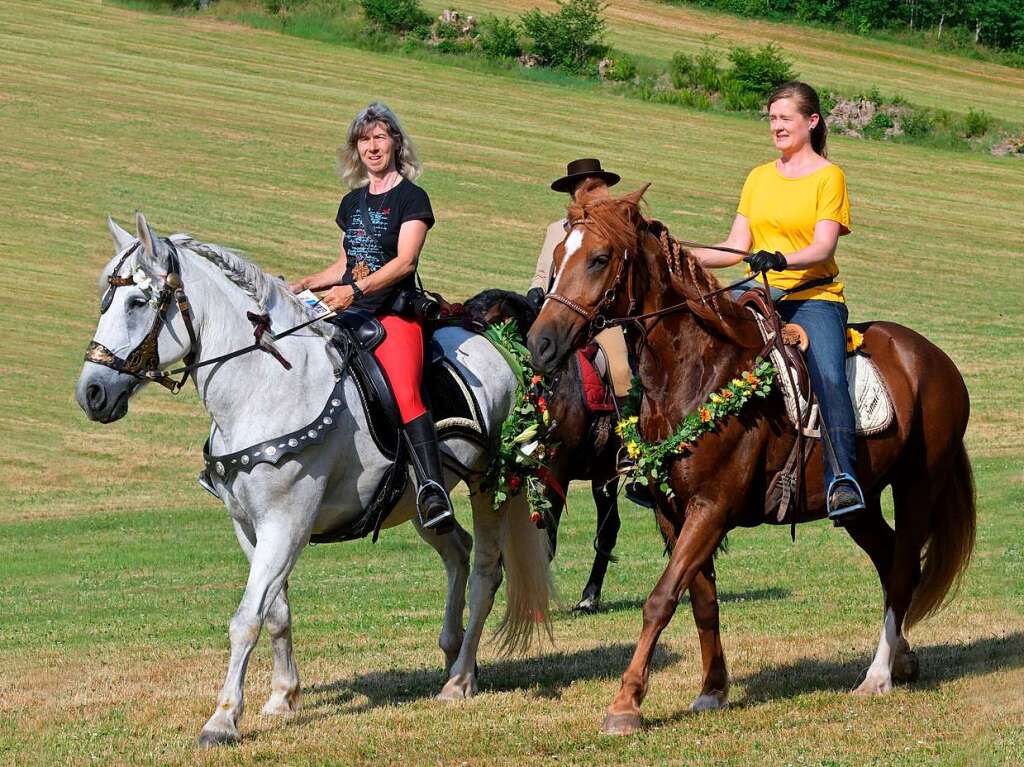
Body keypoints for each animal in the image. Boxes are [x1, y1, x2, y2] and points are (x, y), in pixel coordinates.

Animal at [75, 211, 552, 745]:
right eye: (106, 301)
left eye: (138, 302)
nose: (92, 393)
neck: (264, 385)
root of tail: (496, 344)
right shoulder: (249, 526)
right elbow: (274, 612)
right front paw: (282, 697)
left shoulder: (287, 523)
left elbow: (246, 618)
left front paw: (223, 718)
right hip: (420, 500)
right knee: (458, 552)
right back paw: (450, 653)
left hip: (489, 484)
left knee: (486, 571)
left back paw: (461, 678)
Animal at [528, 187, 974, 737]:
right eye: (559, 253)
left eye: (599, 258)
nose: (540, 344)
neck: (698, 371)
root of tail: (934, 359)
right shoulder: (672, 513)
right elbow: (700, 601)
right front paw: (712, 689)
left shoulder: (711, 509)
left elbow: (660, 599)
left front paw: (626, 703)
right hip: (861, 504)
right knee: (890, 560)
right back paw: (904, 659)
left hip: (918, 487)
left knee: (905, 565)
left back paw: (878, 675)